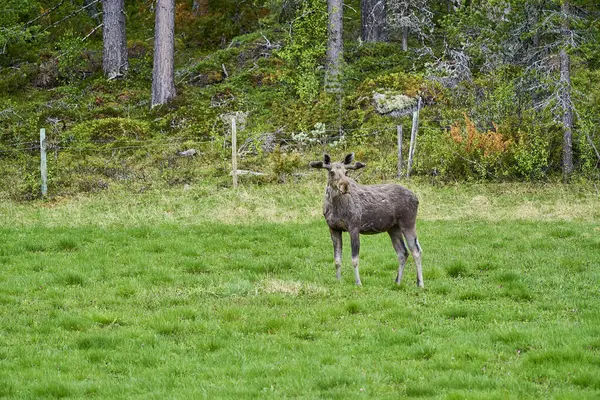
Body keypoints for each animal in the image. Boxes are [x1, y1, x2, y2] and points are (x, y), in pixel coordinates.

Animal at [312, 153, 424, 288]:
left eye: (346, 172)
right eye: (332, 172)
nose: (344, 186)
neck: (335, 208)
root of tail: (417, 199)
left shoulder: (354, 227)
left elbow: (354, 259)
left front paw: (358, 283)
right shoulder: (333, 228)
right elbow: (337, 260)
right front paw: (338, 280)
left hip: (408, 223)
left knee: (416, 251)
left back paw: (420, 284)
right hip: (393, 228)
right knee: (403, 252)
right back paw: (397, 282)